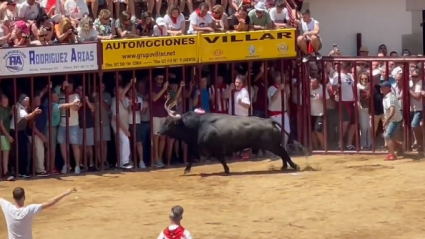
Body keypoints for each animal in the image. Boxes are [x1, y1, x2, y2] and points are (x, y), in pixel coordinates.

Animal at [156, 101, 298, 174]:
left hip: (271, 145)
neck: (197, 125)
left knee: (284, 153)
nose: (157, 131)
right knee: (283, 153)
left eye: (168, 122)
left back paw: (294, 166)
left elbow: (218, 159)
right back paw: (284, 167)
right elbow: (193, 157)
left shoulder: (213, 149)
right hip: (273, 145)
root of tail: (269, 121)